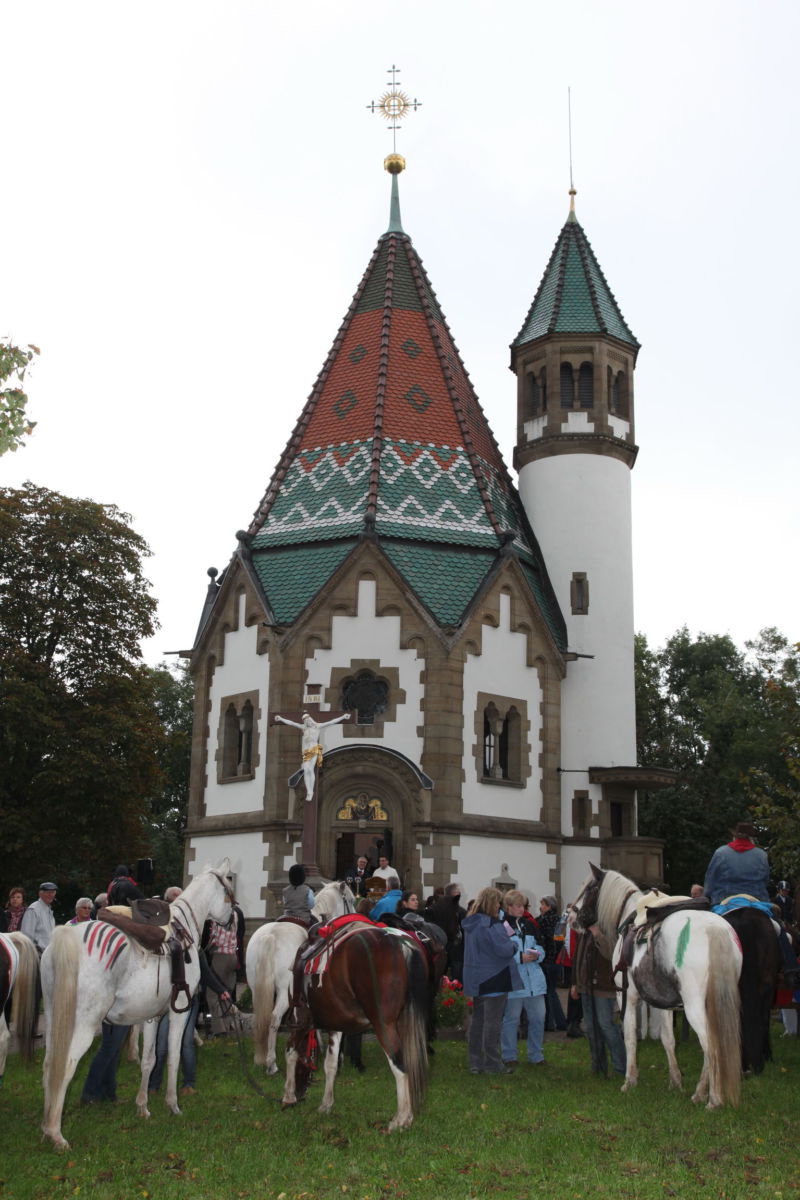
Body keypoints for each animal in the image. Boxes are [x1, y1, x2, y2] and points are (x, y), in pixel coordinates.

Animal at [41, 859, 235, 1147]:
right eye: (229, 891)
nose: (232, 921)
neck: (185, 930)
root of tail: (67, 937)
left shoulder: (151, 1016)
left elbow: (149, 1059)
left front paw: (143, 1107)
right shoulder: (180, 1012)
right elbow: (173, 1056)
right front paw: (173, 1105)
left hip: (54, 1018)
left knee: (48, 1065)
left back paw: (46, 1127)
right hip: (83, 1024)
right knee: (64, 1066)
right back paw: (56, 1134)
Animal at [245, 878, 355, 1075]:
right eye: (350, 900)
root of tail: (270, 936)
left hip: (255, 987)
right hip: (284, 993)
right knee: (274, 1018)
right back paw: (271, 1063)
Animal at [283, 921, 431, 1128]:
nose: (300, 1094)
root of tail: (402, 944)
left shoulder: (300, 1023)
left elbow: (291, 1053)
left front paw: (288, 1097)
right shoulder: (336, 1026)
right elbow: (331, 1064)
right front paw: (326, 1104)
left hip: (383, 1024)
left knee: (399, 1065)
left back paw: (401, 1118)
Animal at [573, 868, 743, 1108]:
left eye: (588, 888)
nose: (572, 917)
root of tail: (714, 929)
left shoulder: (627, 996)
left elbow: (630, 1037)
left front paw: (629, 1081)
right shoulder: (664, 1004)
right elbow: (668, 1039)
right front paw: (675, 1081)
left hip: (694, 1007)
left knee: (711, 1046)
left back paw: (713, 1099)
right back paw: (700, 1093)